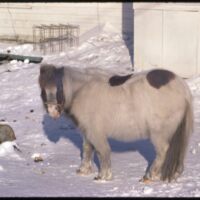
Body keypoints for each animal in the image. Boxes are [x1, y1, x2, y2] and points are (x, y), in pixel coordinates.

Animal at [38, 64, 193, 183]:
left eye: (59, 87)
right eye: (43, 89)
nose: (52, 111)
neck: (81, 90)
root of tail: (182, 87)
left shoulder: (96, 133)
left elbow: (103, 152)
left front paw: (103, 176)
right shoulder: (88, 132)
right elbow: (87, 150)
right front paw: (84, 170)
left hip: (159, 134)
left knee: (163, 151)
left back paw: (149, 176)